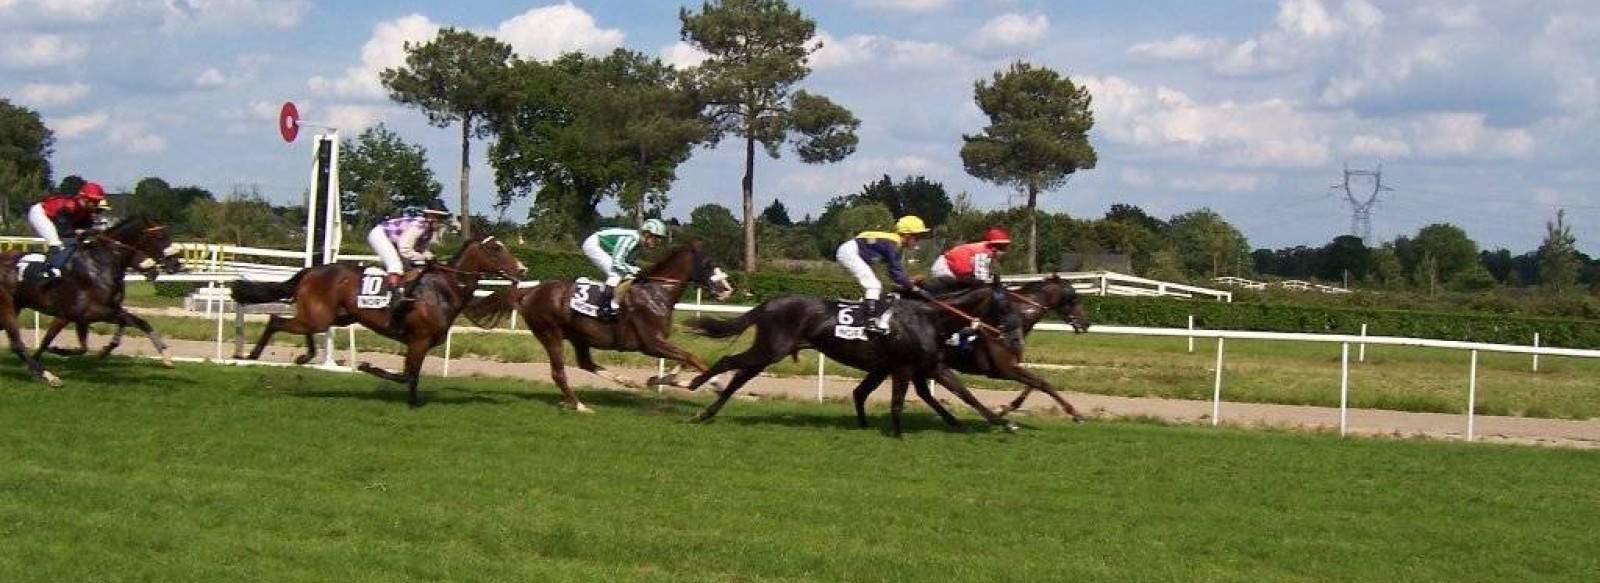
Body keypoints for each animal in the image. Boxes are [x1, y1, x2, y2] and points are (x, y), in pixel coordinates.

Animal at [8, 216, 184, 366]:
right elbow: (48, 340)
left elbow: (136, 322)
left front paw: (166, 356)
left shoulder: (97, 313)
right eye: (160, 237)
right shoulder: (72, 315)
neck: (99, 265)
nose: (176, 263)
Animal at [230, 235, 524, 405]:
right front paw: (366, 366)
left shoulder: (422, 343)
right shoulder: (418, 340)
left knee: (300, 326)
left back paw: (305, 356)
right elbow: (405, 375)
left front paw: (413, 403)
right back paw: (250, 355)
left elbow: (412, 377)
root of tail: (311, 271)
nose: (522, 269)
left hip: (334, 317)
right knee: (275, 320)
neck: (444, 288)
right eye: (496, 250)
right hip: (319, 317)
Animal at [467, 238, 732, 413]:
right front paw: (717, 383)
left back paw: (625, 381)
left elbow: (685, 359)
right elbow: (692, 357)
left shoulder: (660, 342)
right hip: (550, 333)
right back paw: (580, 406)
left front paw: (663, 380)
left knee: (586, 363)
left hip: (579, 337)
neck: (656, 292)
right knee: (558, 372)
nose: (727, 288)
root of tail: (530, 290)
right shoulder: (651, 343)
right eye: (709, 263)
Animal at [681, 278, 1017, 435]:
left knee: (739, 376)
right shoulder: (904, 366)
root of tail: (768, 303)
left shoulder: (929, 367)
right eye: (1006, 305)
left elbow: (966, 395)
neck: (930, 318)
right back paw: (694, 385)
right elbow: (898, 400)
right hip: (770, 349)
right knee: (728, 364)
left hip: (769, 352)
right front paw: (898, 434)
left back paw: (706, 411)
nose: (1014, 337)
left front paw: (1001, 423)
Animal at [844, 273, 1094, 422]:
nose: (1086, 323)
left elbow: (1034, 384)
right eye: (1074, 298)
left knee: (922, 392)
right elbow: (1043, 383)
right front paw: (1075, 413)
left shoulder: (1011, 365)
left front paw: (1007, 408)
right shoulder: (1002, 369)